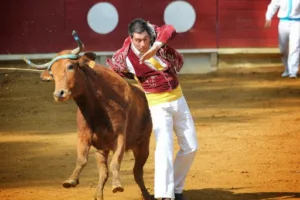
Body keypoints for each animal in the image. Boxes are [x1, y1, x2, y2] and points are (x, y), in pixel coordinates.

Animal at [23, 30, 152, 199]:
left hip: (143, 145)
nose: (59, 94)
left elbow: (115, 161)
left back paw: (146, 194)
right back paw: (98, 195)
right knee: (104, 173)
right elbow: (82, 159)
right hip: (102, 150)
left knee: (137, 171)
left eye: (70, 66)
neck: (97, 107)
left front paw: (117, 185)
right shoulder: (84, 136)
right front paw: (71, 180)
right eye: (52, 73)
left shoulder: (120, 137)